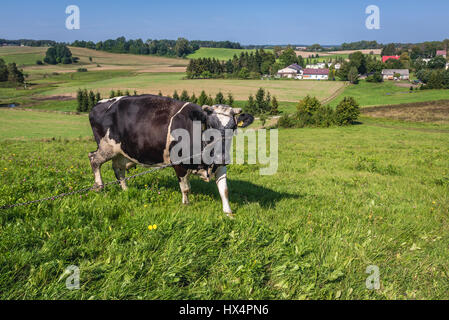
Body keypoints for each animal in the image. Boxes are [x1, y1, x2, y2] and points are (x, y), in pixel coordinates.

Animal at [87, 94, 252, 216]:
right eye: (210, 126)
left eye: (233, 127)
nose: (222, 157)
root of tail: (99, 104)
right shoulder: (179, 163)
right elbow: (185, 188)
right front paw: (186, 205)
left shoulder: (220, 165)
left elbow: (224, 190)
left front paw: (228, 213)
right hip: (106, 147)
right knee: (93, 159)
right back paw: (99, 186)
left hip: (121, 152)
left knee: (118, 169)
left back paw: (126, 189)